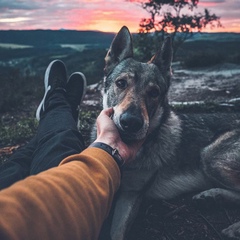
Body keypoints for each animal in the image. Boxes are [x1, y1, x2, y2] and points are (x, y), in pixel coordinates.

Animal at [93, 25, 240, 239]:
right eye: (121, 83)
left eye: (154, 93)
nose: (131, 122)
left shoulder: (131, 195)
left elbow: (117, 233)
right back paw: (212, 196)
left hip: (210, 155)